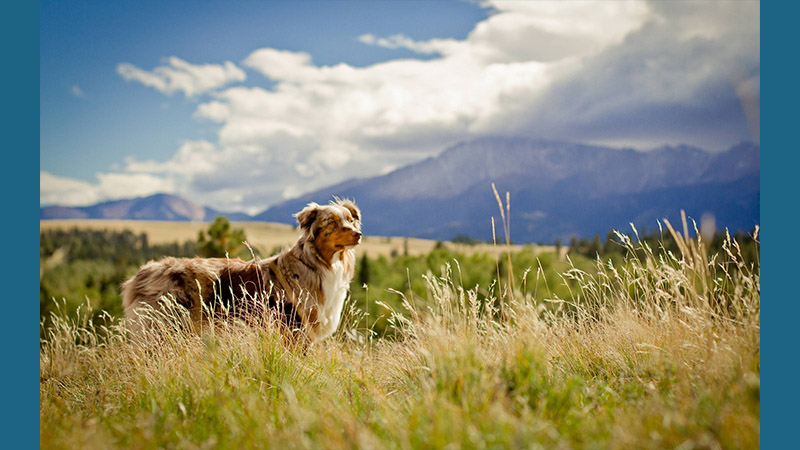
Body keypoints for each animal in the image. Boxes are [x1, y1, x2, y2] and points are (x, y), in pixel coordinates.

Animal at [119, 199, 362, 342]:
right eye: (332, 222)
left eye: (351, 220)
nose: (358, 234)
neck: (319, 262)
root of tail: (143, 273)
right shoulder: (294, 328)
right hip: (161, 326)